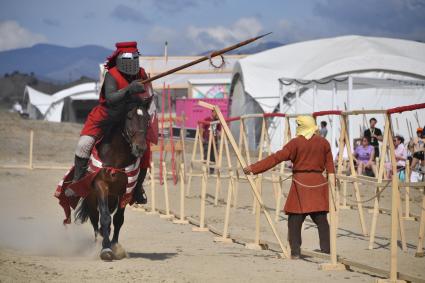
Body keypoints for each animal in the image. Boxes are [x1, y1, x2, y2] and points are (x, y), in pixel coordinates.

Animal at [74, 99, 151, 262]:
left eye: (148, 119)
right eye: (129, 117)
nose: (140, 148)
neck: (117, 157)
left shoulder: (126, 190)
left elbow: (118, 219)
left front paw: (114, 246)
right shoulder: (101, 186)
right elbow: (104, 218)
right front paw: (106, 249)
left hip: (112, 198)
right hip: (91, 198)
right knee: (95, 218)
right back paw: (98, 242)